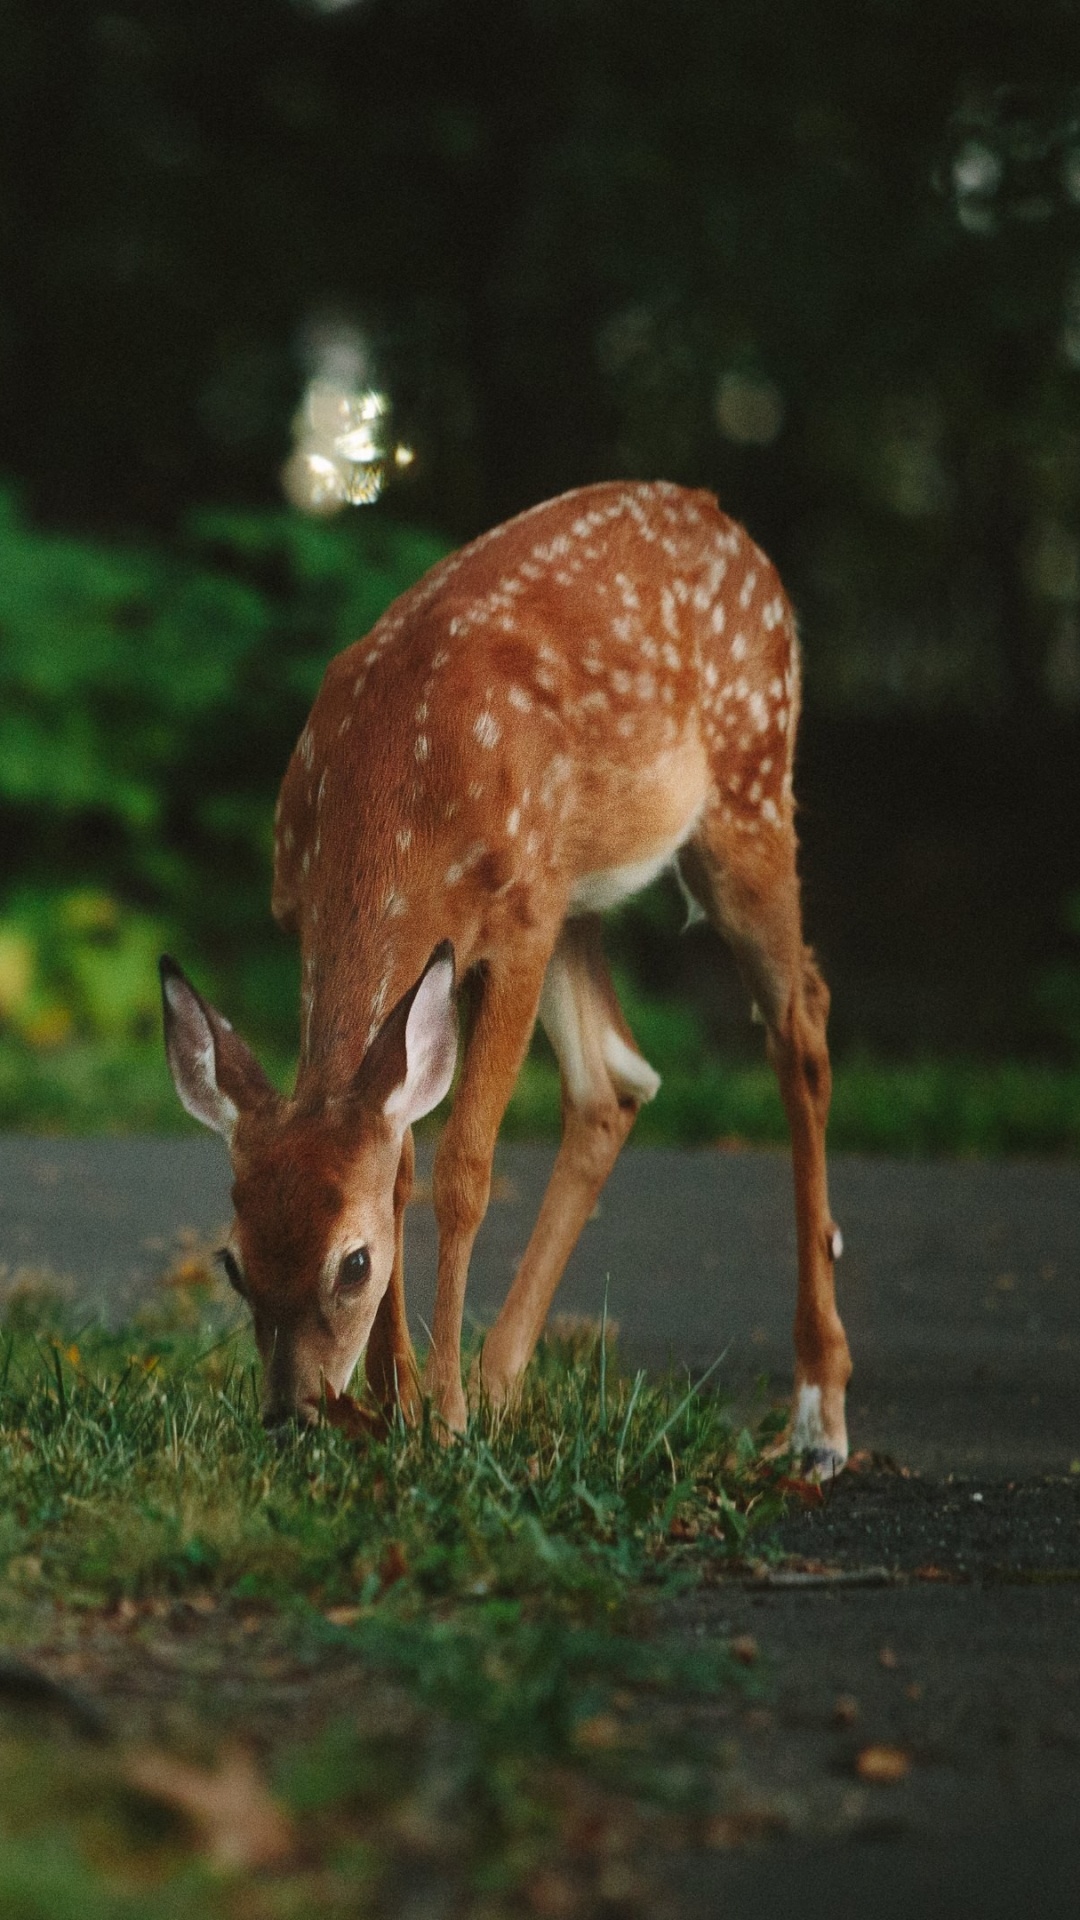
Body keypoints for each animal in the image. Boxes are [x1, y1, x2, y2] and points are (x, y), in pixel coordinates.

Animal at [161, 480, 851, 1476]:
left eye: (353, 1264)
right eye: (234, 1263)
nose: (293, 1416)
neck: (395, 792)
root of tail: (725, 520)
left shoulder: (518, 924)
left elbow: (461, 1171)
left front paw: (438, 1419)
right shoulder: (320, 923)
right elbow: (399, 1158)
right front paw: (399, 1405)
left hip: (746, 791)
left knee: (801, 1025)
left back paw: (819, 1416)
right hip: (581, 893)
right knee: (615, 1080)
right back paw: (500, 1385)